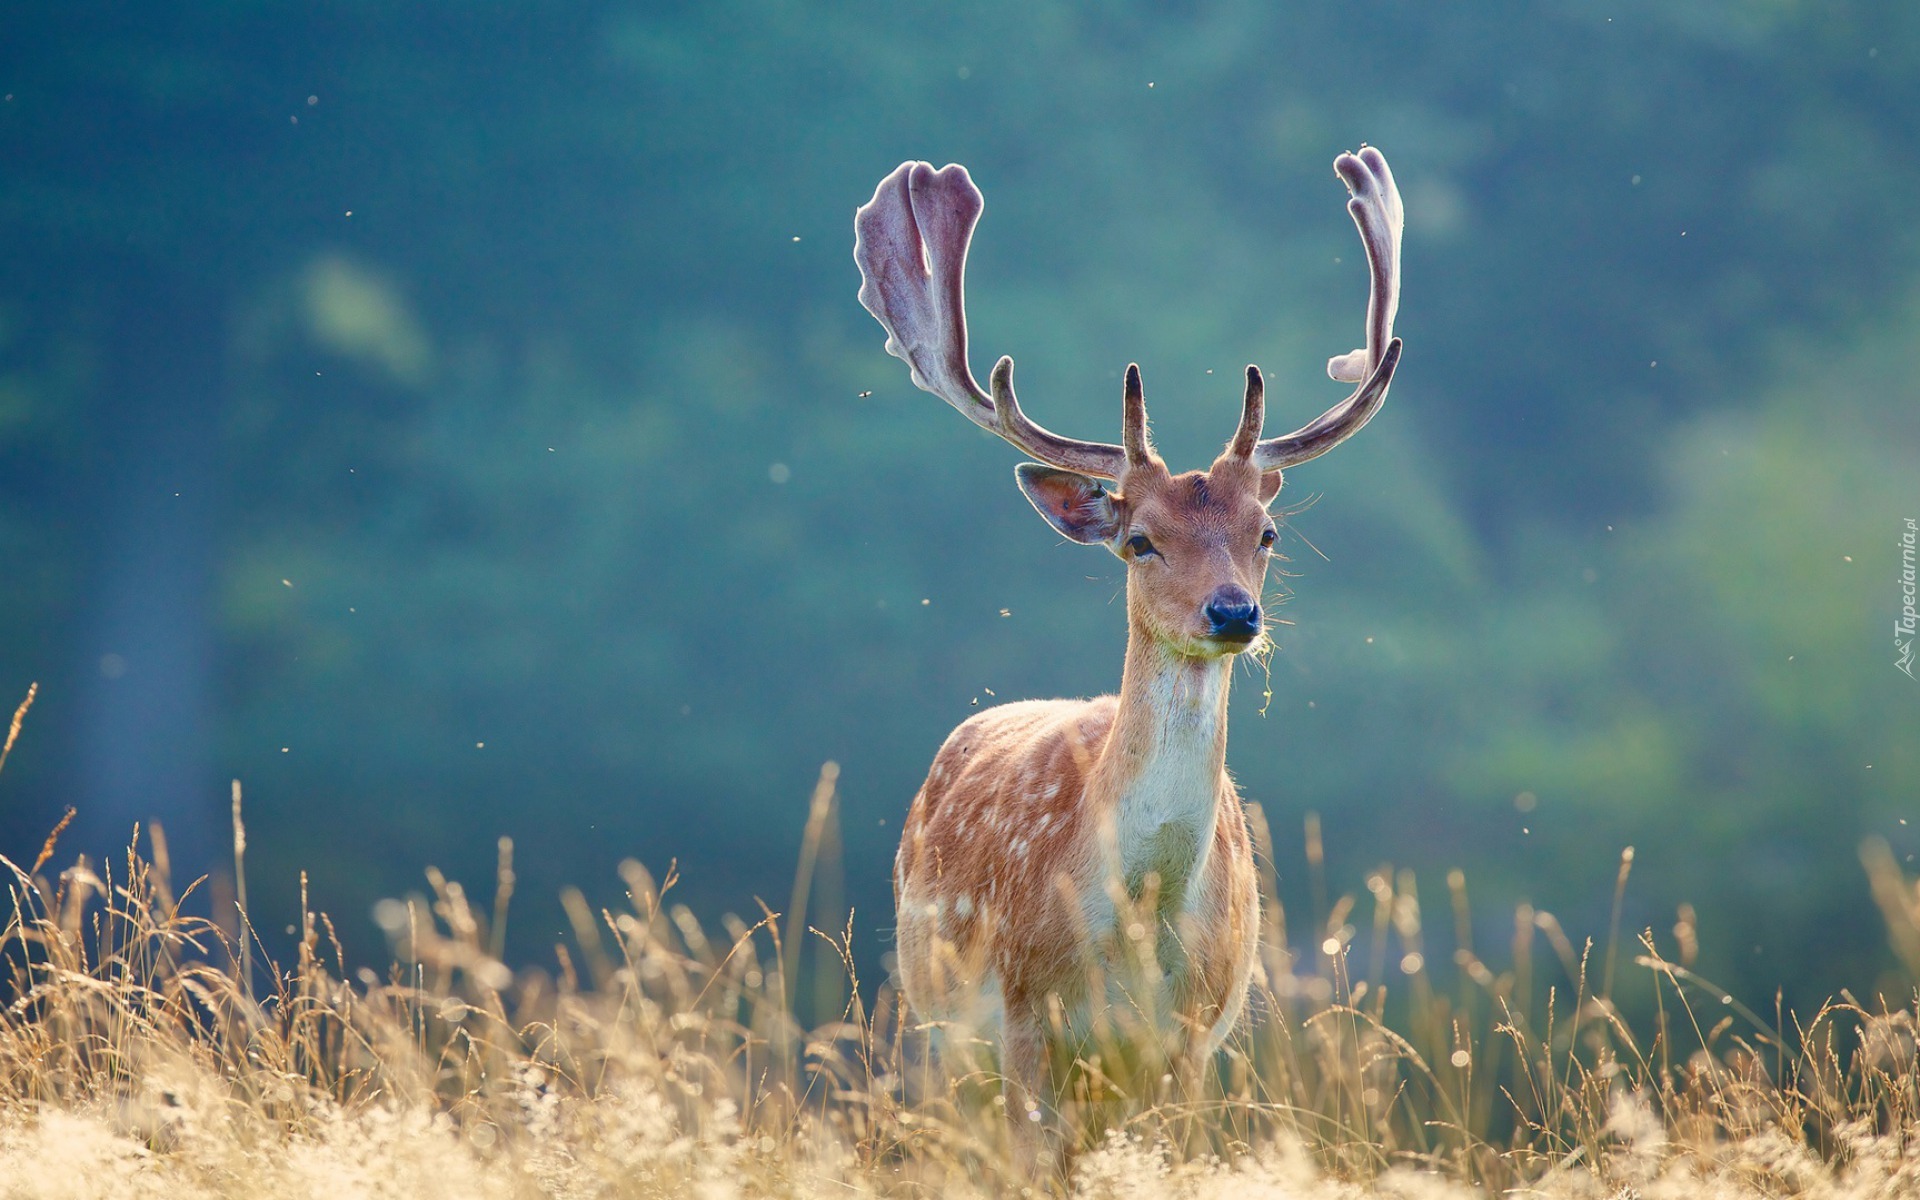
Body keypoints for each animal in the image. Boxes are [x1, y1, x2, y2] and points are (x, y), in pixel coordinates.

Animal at [848, 147, 1405, 1144]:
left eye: (1266, 533)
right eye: (1140, 539)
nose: (1233, 614)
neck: (1135, 930)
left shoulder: (1191, 1040)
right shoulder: (1023, 1020)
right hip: (935, 1027)